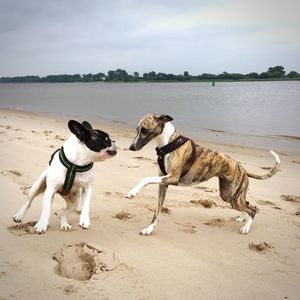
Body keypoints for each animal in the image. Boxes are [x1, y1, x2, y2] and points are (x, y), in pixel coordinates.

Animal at [126, 114, 278, 234]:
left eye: (144, 130)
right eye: (137, 130)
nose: (131, 148)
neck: (168, 144)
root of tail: (244, 170)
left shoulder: (172, 178)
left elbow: (145, 178)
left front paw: (133, 192)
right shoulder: (163, 184)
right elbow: (157, 211)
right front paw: (149, 229)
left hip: (233, 197)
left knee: (253, 210)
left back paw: (246, 227)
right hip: (229, 195)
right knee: (247, 203)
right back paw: (241, 217)